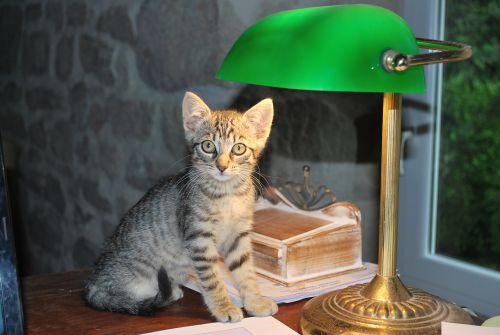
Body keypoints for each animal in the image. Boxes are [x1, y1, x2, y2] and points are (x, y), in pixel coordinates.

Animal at [82, 92, 278, 322]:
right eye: (208, 146)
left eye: (238, 148)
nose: (221, 167)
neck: (227, 194)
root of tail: (92, 284)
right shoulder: (199, 238)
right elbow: (212, 279)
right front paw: (223, 307)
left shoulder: (239, 235)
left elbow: (246, 271)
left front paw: (255, 302)